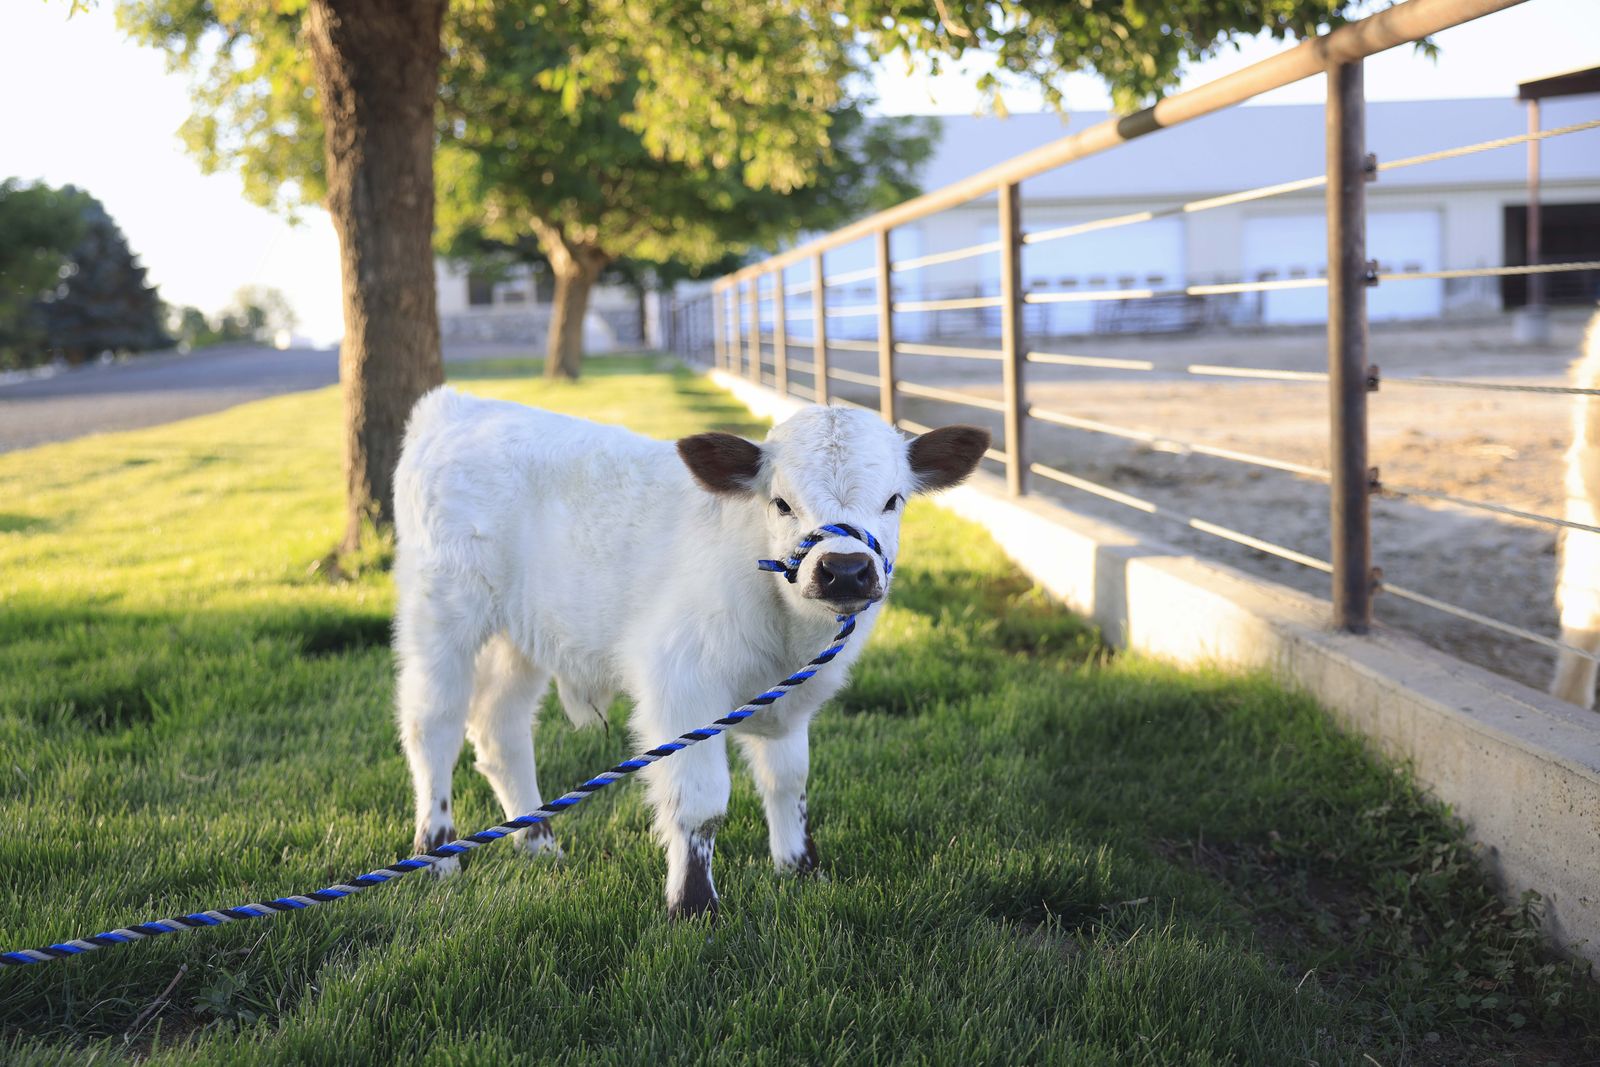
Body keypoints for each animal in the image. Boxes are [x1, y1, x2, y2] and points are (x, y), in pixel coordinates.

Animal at [390, 388, 990, 917]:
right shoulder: (681, 687)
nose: (844, 569)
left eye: (894, 500)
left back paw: (540, 846)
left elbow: (789, 780)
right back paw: (437, 854)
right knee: (433, 724)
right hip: (442, 615)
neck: (787, 631)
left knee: (500, 728)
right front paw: (694, 906)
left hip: (524, 636)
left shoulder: (787, 704)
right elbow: (700, 802)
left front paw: (800, 871)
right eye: (781, 503)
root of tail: (456, 405)